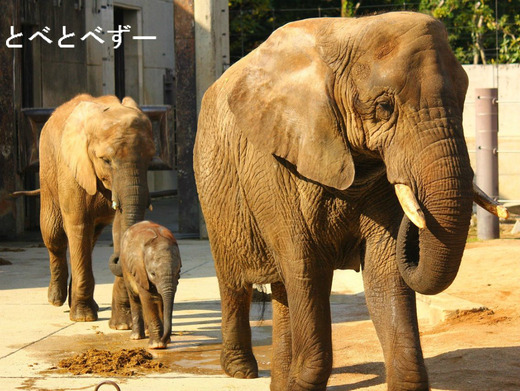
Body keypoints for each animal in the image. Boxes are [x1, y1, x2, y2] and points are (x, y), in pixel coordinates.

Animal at [37, 94, 154, 324]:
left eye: (150, 159)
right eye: (106, 160)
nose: (116, 257)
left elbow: (118, 226)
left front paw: (123, 324)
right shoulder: (71, 169)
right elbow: (78, 225)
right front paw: (83, 318)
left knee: (89, 239)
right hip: (47, 168)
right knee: (55, 236)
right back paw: (56, 299)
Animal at [116, 220, 181, 350]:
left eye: (178, 272)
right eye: (153, 274)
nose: (165, 339)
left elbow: (161, 301)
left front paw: (165, 342)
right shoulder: (140, 269)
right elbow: (150, 299)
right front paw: (157, 345)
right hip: (126, 267)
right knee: (135, 298)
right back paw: (136, 337)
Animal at [193, 12, 506, 391]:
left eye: (463, 99)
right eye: (384, 107)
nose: (416, 215)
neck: (348, 31)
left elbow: (385, 270)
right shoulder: (271, 165)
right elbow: (305, 266)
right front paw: (302, 383)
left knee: (283, 290)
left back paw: (278, 380)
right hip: (212, 179)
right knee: (235, 282)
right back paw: (241, 370)